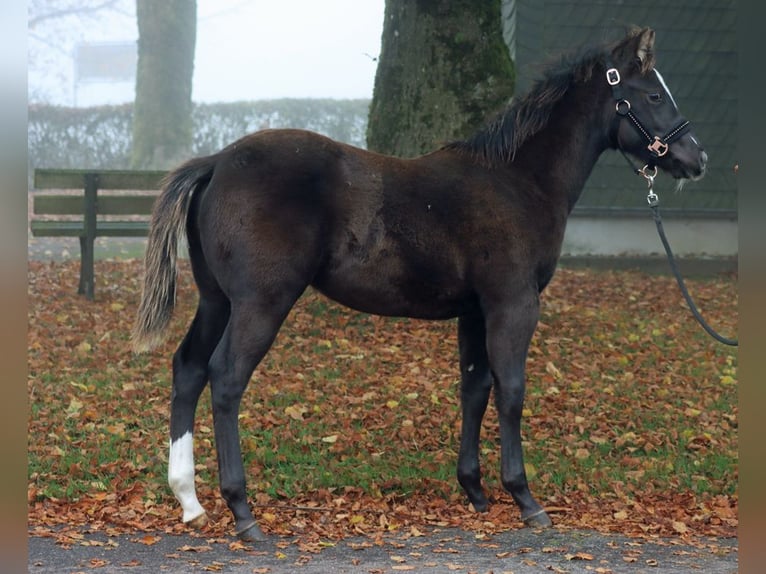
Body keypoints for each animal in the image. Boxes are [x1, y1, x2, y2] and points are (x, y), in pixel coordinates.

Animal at [132, 25, 708, 540]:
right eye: (653, 94)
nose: (696, 158)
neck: (517, 180)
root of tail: (216, 162)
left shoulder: (476, 311)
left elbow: (475, 388)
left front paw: (475, 490)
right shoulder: (513, 305)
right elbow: (511, 391)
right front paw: (525, 498)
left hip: (217, 301)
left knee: (188, 369)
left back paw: (189, 500)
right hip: (261, 303)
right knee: (225, 378)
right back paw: (242, 511)